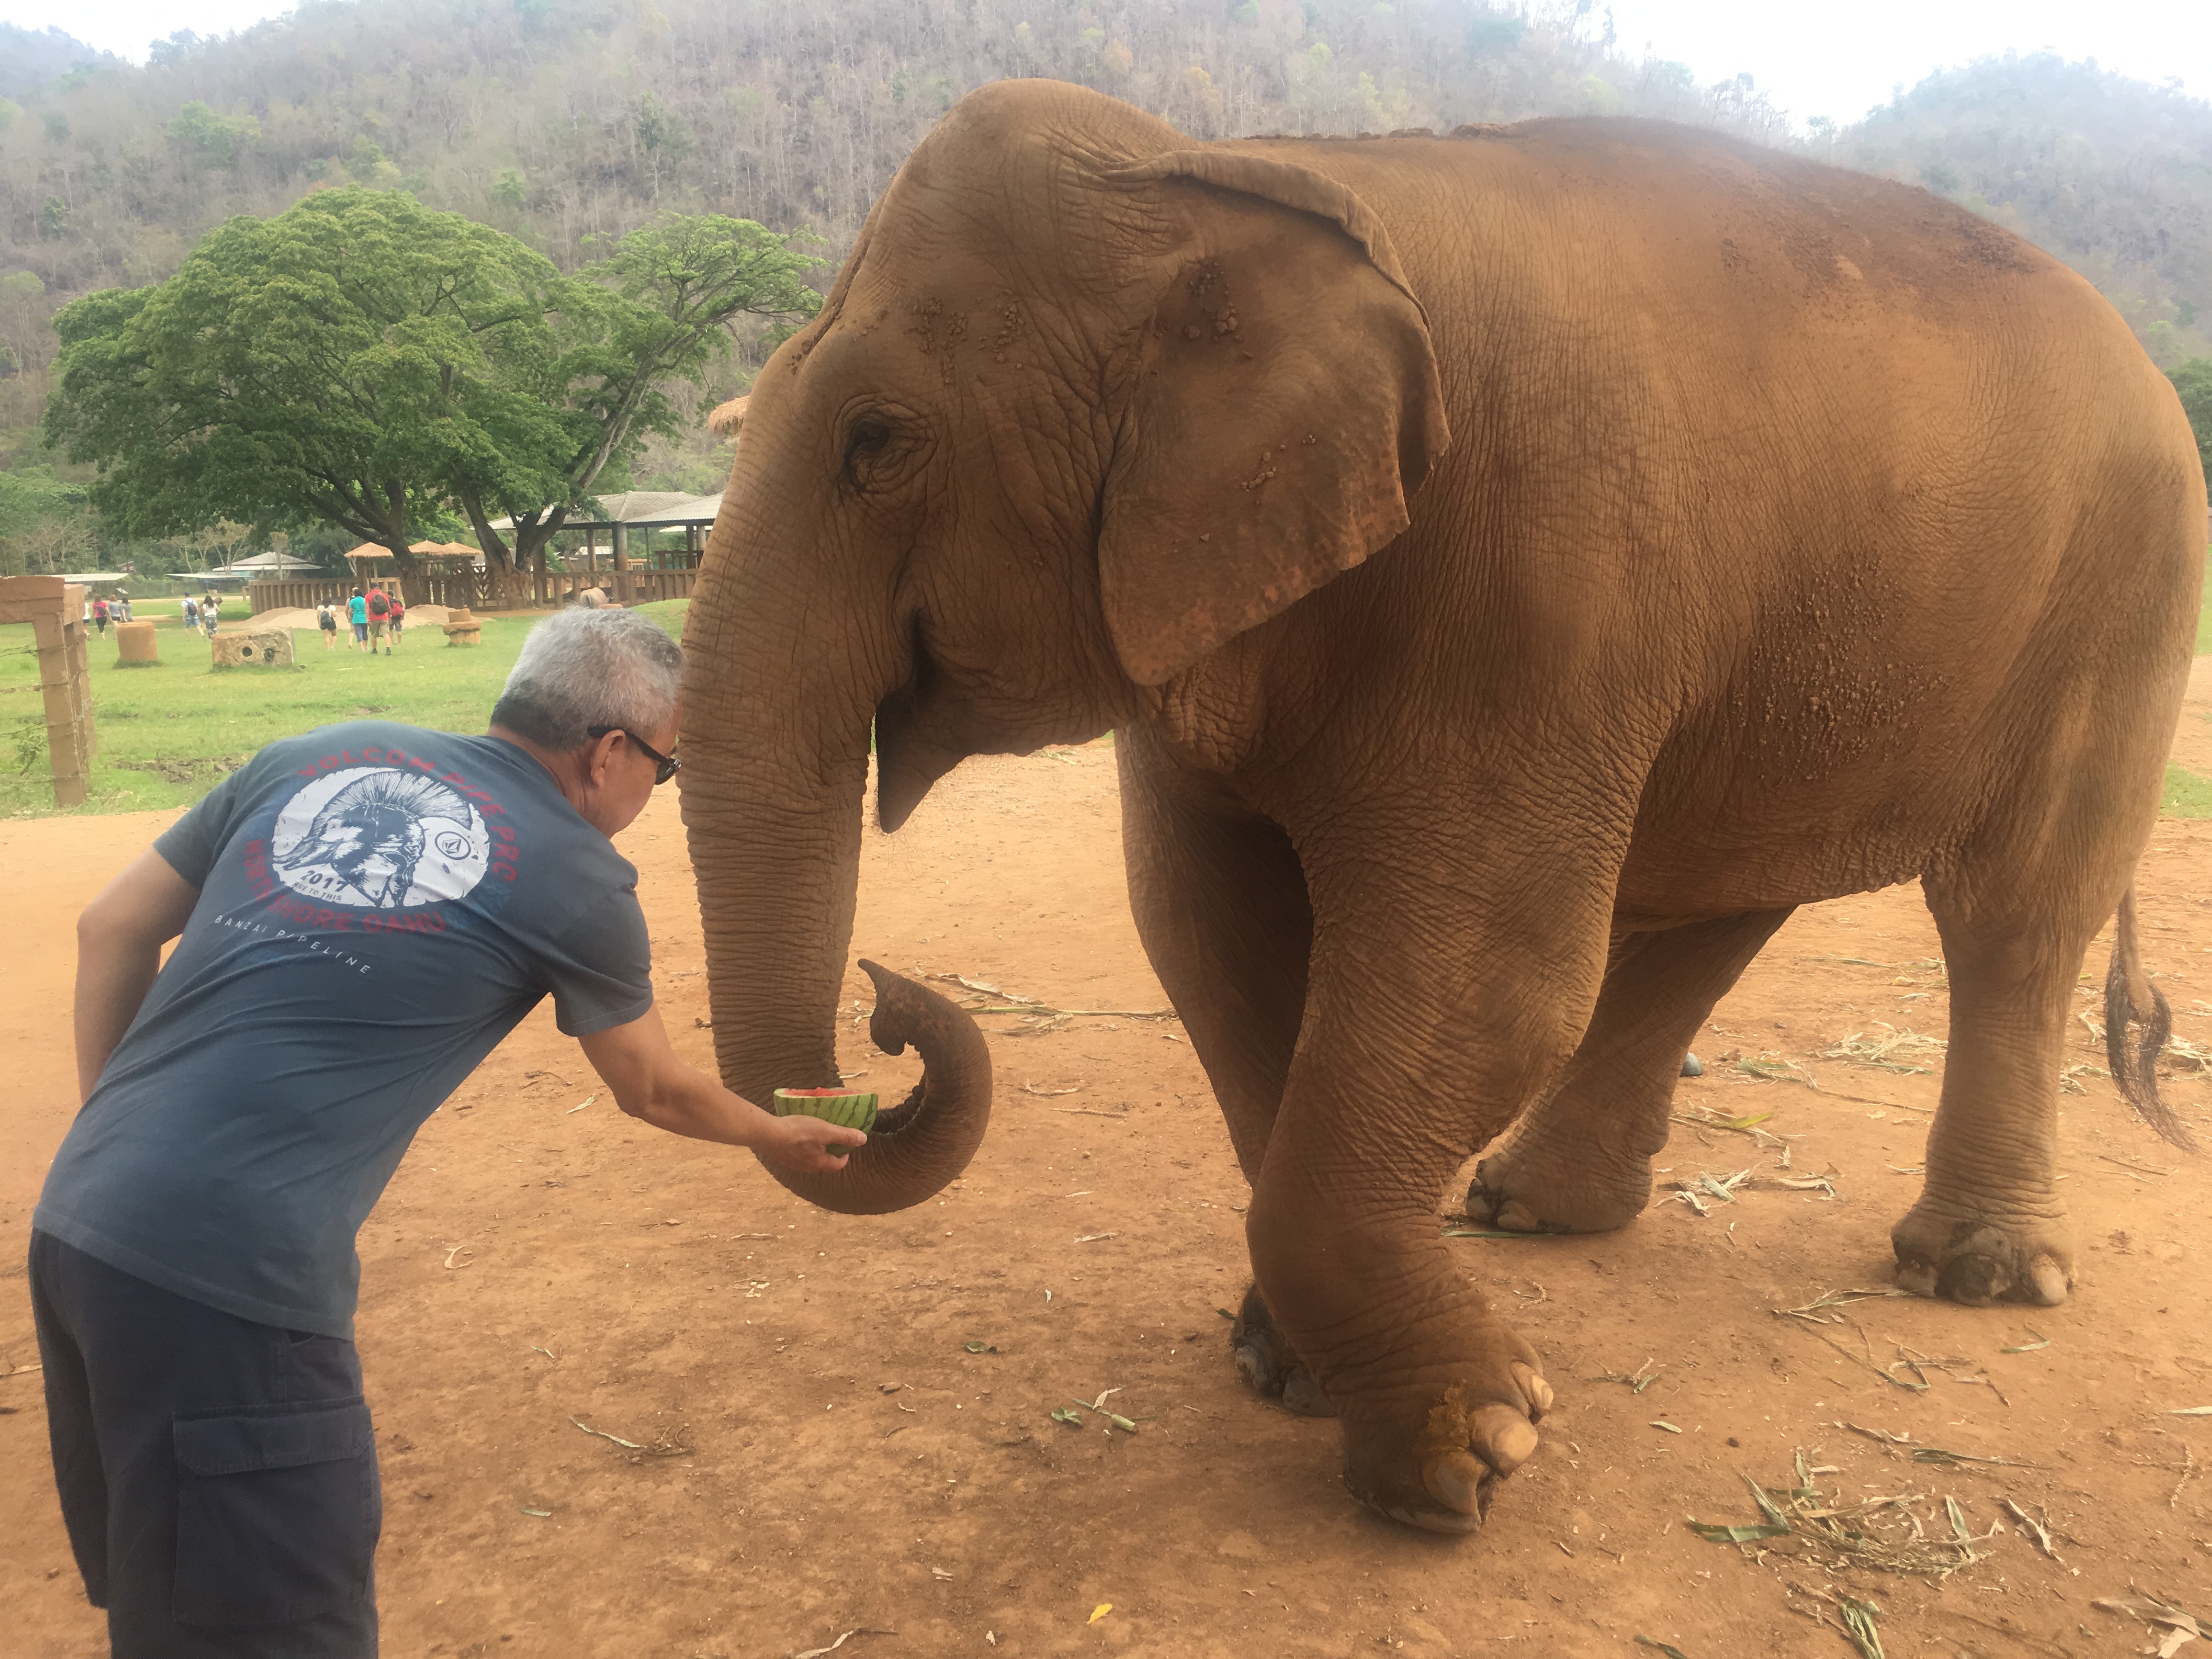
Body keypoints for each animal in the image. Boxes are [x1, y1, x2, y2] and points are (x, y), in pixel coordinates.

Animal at [675, 79, 2208, 1535]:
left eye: (878, 442)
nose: (892, 1005)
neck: (1221, 174)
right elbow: (1217, 949)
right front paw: (1297, 1376)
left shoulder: (1536, 581)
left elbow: (1485, 988)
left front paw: (1470, 1457)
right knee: (1723, 902)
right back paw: (1529, 1211)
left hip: (2124, 596)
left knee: (2013, 912)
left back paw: (1983, 1278)